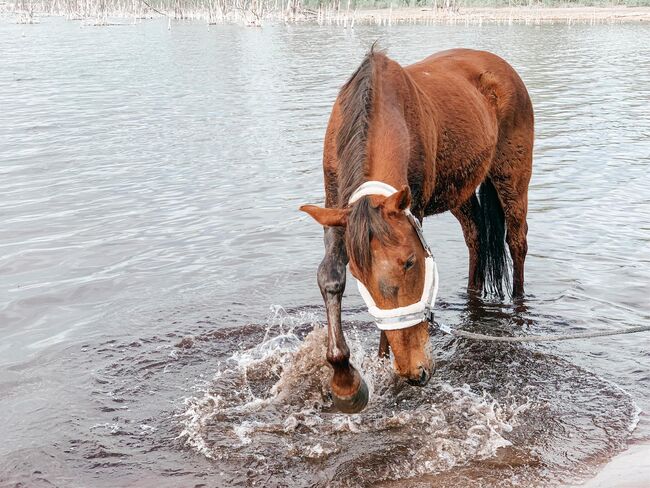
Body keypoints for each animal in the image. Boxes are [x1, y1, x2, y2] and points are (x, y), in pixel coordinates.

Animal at [298, 44, 532, 412]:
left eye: (410, 262)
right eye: (359, 275)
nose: (415, 372)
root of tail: (501, 67)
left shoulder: (414, 211)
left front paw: (386, 364)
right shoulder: (336, 211)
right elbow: (330, 278)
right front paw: (346, 382)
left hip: (513, 176)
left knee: (516, 242)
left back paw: (519, 308)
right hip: (460, 192)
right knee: (476, 238)